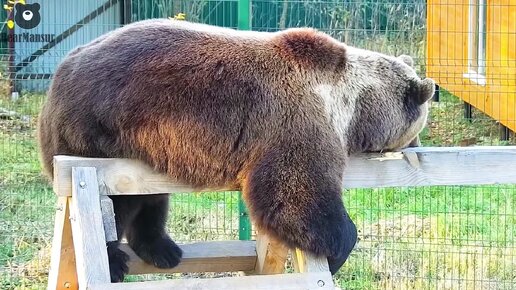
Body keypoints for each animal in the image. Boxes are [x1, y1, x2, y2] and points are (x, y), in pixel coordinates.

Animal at [36, 18, 434, 280]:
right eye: (418, 124)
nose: (418, 144)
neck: (350, 105)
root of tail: (60, 71)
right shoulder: (298, 121)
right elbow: (295, 197)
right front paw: (338, 249)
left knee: (152, 199)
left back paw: (163, 249)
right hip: (97, 131)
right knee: (117, 203)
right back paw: (115, 261)